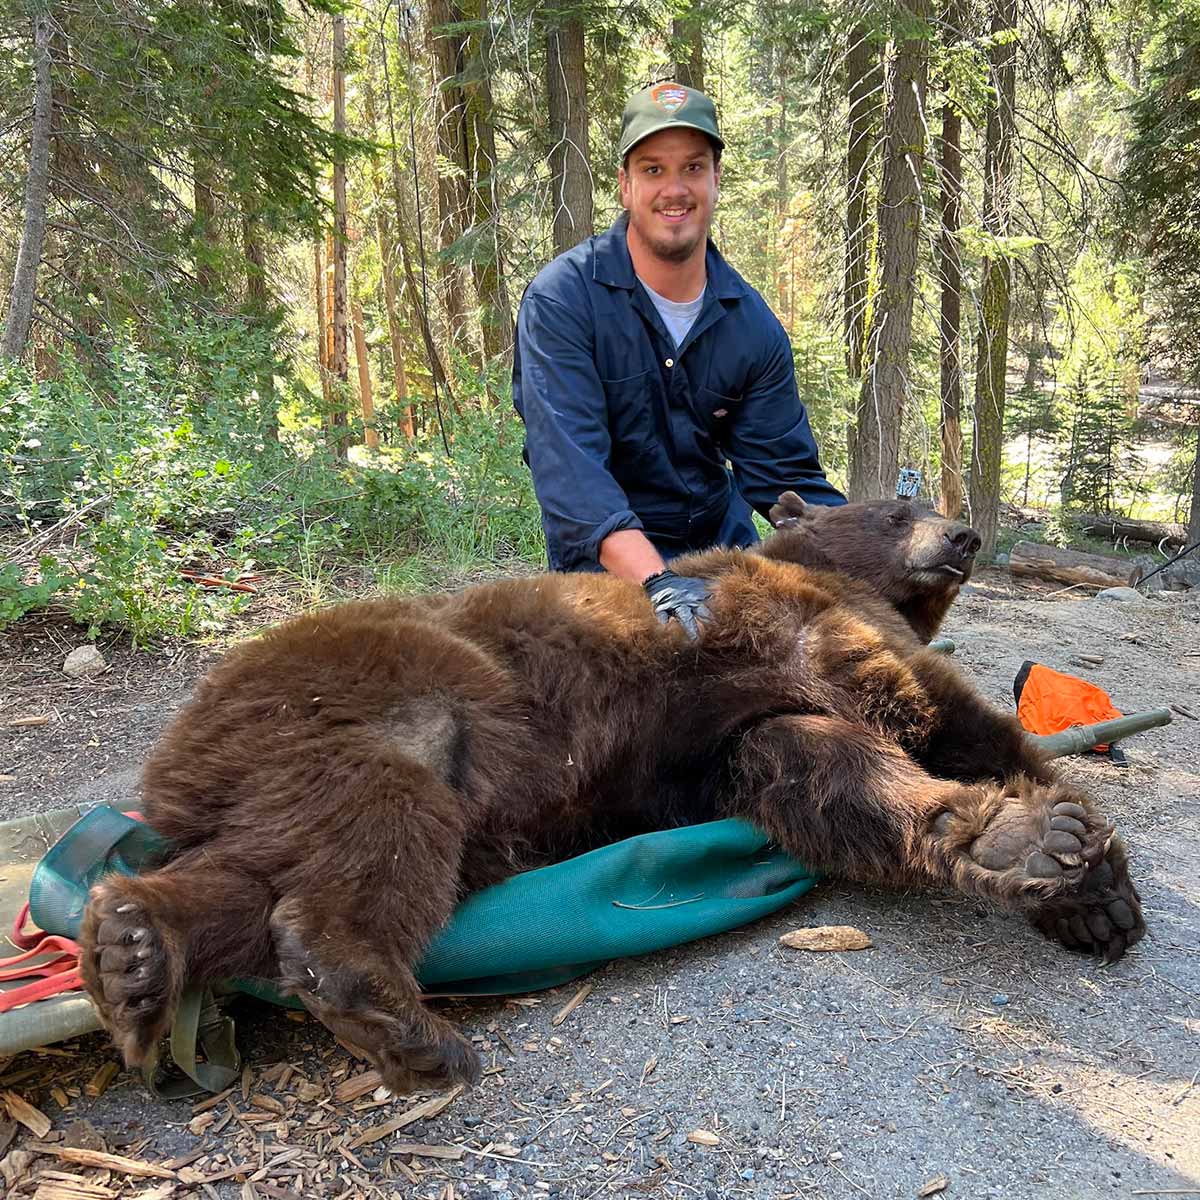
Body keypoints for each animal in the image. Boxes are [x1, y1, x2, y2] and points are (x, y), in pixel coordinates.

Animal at [79, 495, 1145, 1096]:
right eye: (894, 505)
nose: (963, 532)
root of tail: (175, 754)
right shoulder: (815, 626)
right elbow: (939, 718)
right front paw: (1064, 855)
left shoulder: (727, 744)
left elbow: (823, 773)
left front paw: (1063, 880)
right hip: (372, 698)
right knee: (379, 819)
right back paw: (394, 1016)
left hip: (272, 781)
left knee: (249, 873)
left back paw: (133, 950)